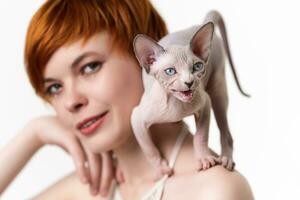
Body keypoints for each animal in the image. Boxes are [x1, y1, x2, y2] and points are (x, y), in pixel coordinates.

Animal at [130, 10, 250, 178]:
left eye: (197, 67)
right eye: (170, 71)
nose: (189, 82)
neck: (176, 105)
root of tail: (198, 25)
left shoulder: (205, 103)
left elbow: (200, 137)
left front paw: (204, 159)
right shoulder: (136, 119)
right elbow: (150, 150)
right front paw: (161, 170)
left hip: (218, 90)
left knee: (225, 131)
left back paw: (226, 159)